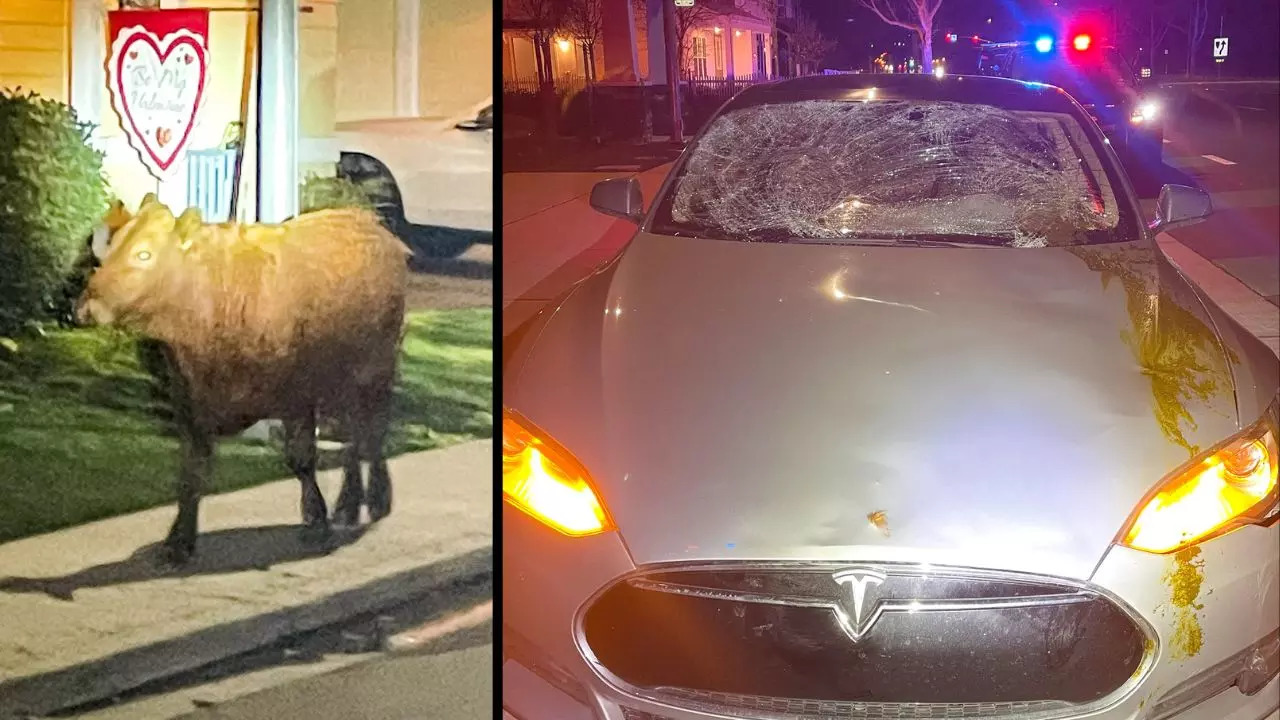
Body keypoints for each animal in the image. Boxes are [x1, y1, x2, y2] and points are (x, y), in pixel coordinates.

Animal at [77, 194, 407, 561]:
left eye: (144, 254)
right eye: (110, 249)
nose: (86, 307)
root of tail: (367, 221)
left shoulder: (296, 398)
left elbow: (302, 460)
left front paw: (316, 524)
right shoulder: (189, 404)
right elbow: (191, 473)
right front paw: (179, 541)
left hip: (376, 370)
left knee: (372, 433)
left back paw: (375, 500)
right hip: (341, 383)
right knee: (353, 438)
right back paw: (349, 506)